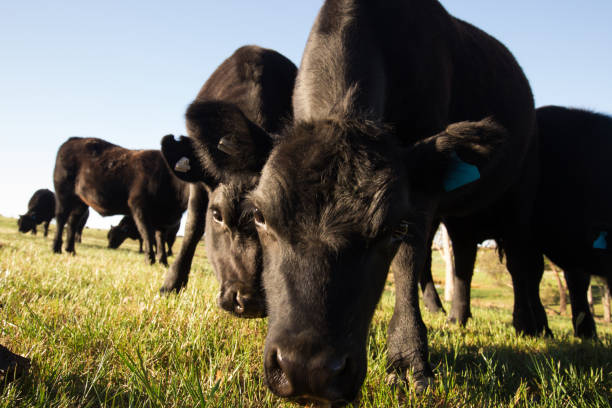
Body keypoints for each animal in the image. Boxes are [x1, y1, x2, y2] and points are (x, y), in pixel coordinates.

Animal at [52, 136, 189, 264]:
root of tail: (73, 140)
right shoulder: (139, 206)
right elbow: (147, 233)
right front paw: (150, 259)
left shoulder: (163, 219)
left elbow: (160, 238)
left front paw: (163, 261)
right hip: (63, 193)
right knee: (61, 218)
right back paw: (56, 248)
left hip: (80, 202)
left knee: (72, 222)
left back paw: (70, 250)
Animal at [243, 1, 536, 404]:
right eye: (259, 215)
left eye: (392, 228)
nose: (308, 371)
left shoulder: (418, 193)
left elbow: (406, 262)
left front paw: (409, 361)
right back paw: (449, 314)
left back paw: (521, 326)